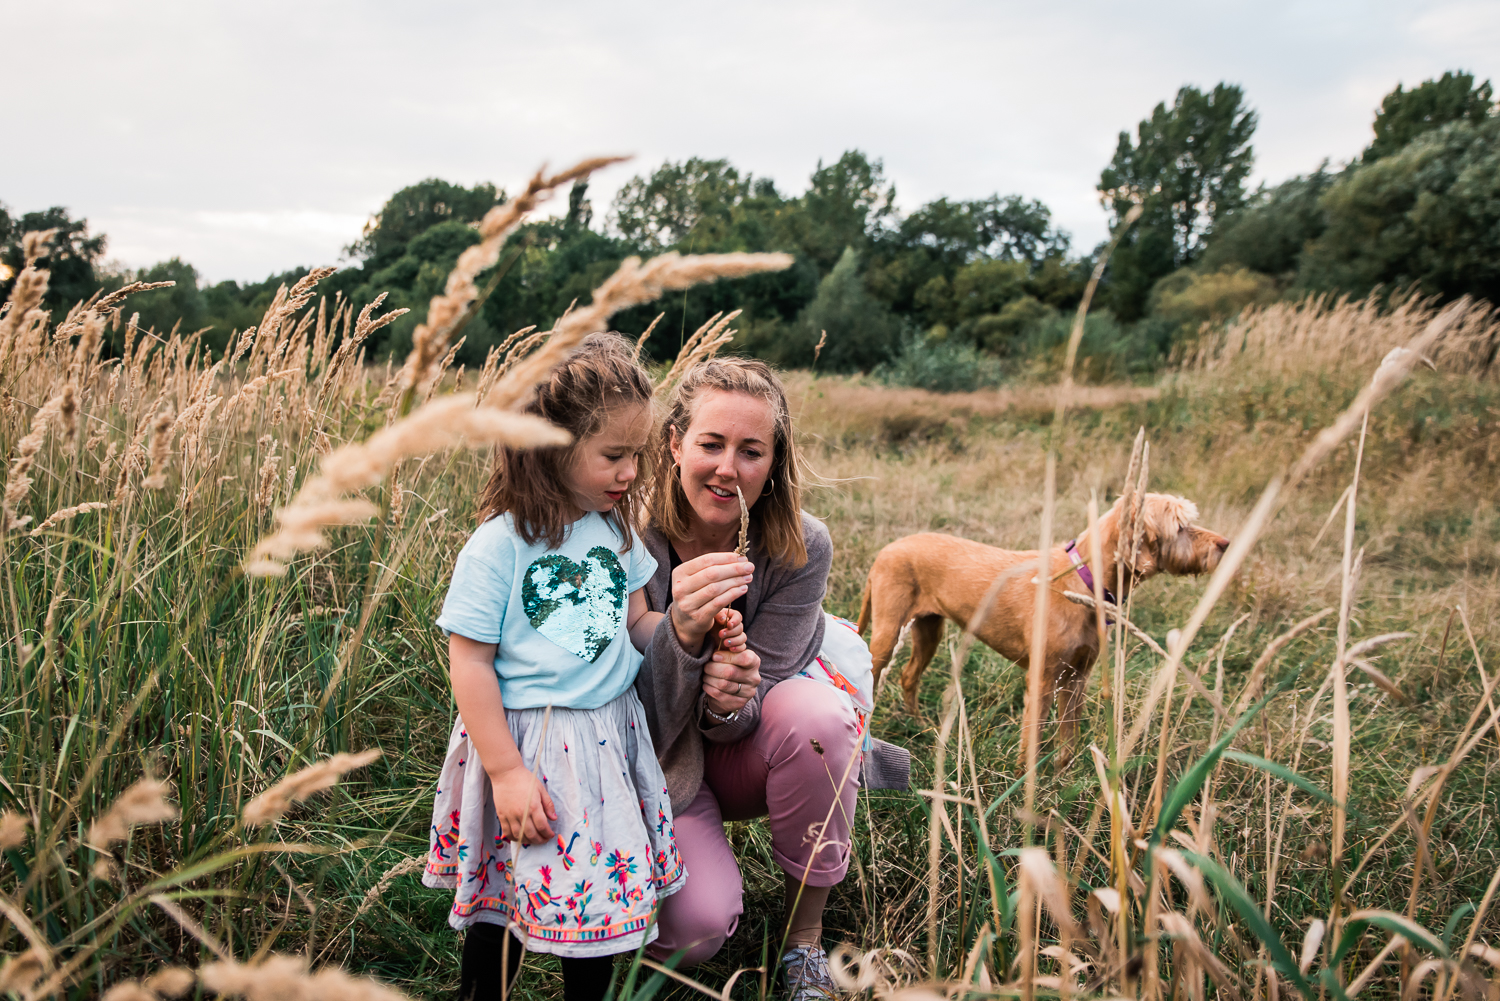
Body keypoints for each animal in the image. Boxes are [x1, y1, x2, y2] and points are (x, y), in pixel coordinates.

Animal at [858, 492, 1230, 750]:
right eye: (1180, 527)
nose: (1225, 543)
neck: (1081, 580)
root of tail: (886, 550)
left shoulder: (1076, 679)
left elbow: (1068, 742)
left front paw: (1061, 785)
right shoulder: (1043, 680)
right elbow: (1032, 745)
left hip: (928, 629)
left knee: (908, 676)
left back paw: (918, 724)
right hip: (887, 634)